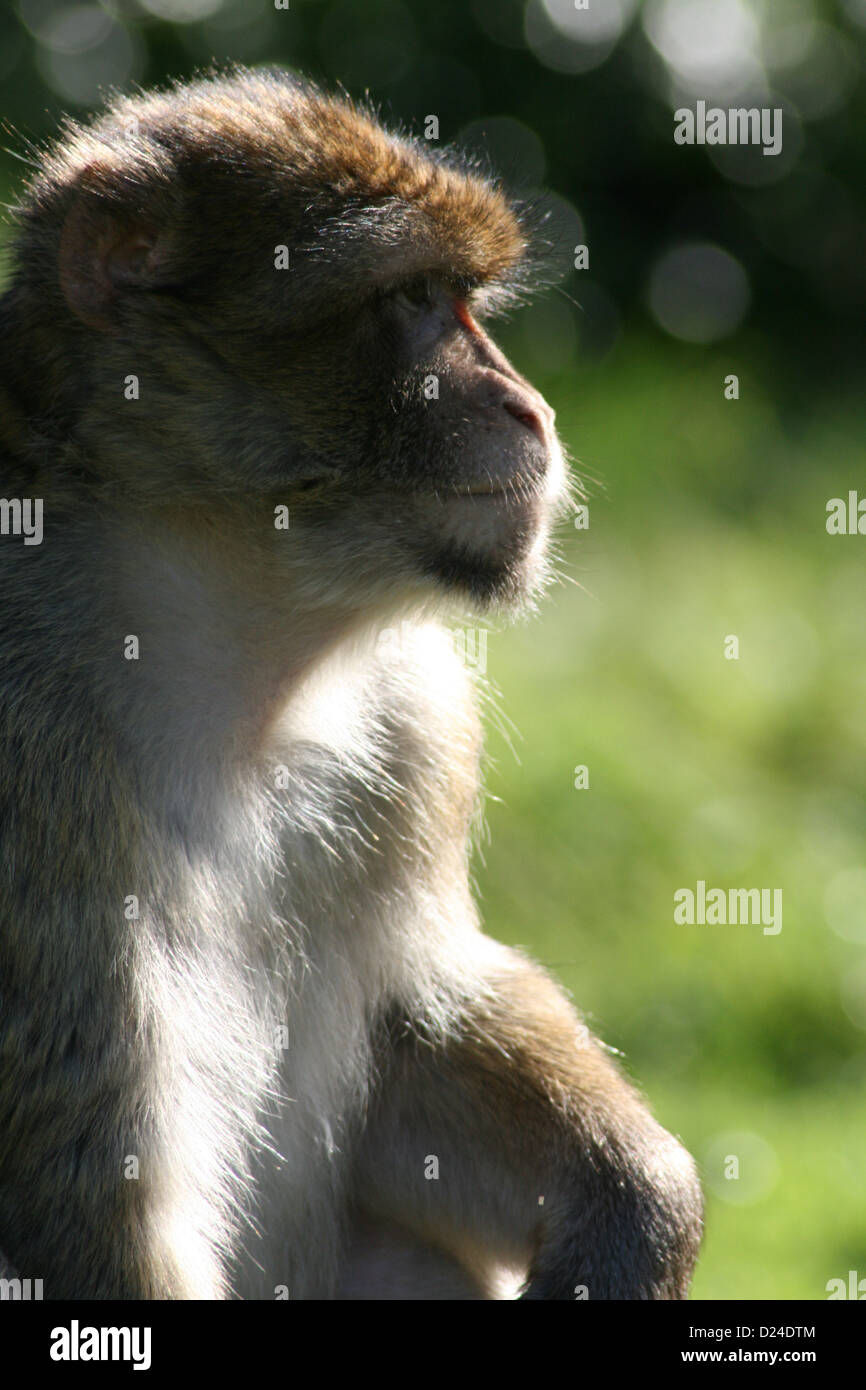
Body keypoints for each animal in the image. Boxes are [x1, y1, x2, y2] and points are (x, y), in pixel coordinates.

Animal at [0, 68, 702, 1300]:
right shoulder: (34, 759)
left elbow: (420, 1020)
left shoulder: (415, 716)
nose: (528, 407)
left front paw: (638, 1202)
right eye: (410, 298)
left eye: (464, 300)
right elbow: (96, 1206)